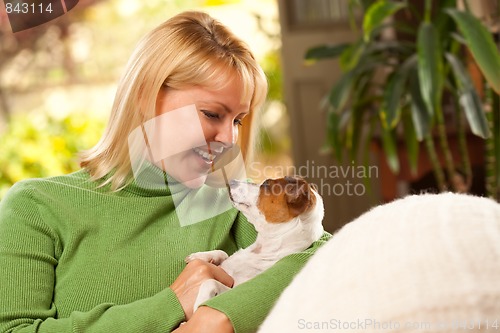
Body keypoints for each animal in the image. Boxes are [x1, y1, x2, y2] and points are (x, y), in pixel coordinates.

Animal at [186, 175, 322, 310]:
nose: (232, 180)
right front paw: (200, 256)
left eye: (266, 184)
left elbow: (210, 282)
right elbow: (223, 253)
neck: (259, 251)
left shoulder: (235, 287)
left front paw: (198, 305)